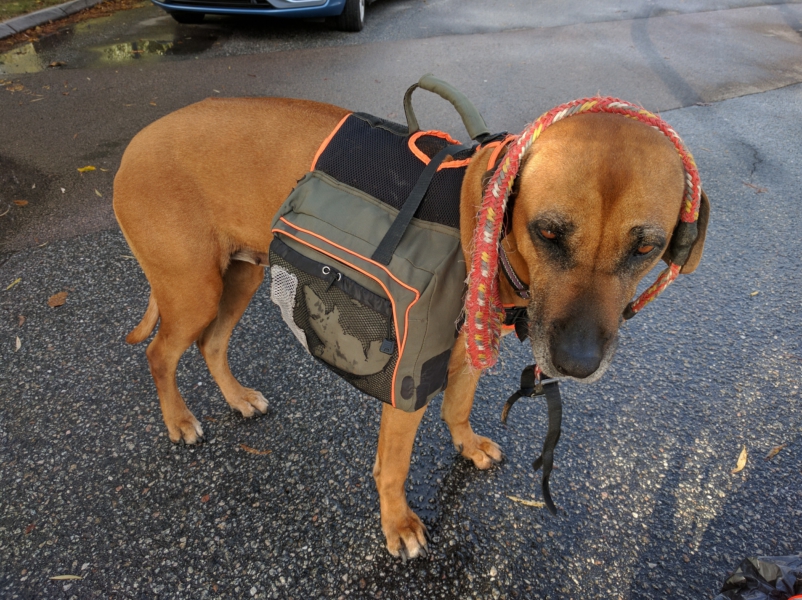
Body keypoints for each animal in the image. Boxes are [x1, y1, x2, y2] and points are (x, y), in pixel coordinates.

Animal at [113, 95, 709, 560]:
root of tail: (134, 144)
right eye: (547, 233)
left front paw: (467, 445)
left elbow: (458, 408)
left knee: (212, 345)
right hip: (194, 290)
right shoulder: (407, 380)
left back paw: (237, 399)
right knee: (160, 354)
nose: (577, 363)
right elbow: (393, 467)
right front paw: (398, 525)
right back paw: (179, 421)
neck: (486, 229)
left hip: (242, 274)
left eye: (646, 249)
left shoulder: (465, 354)